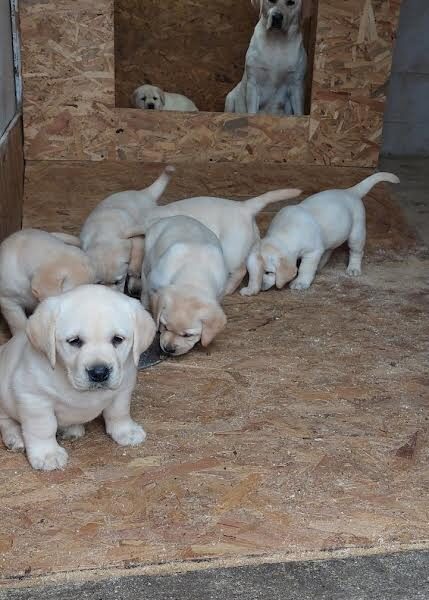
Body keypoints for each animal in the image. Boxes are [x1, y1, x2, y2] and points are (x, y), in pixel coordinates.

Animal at [0, 284, 155, 472]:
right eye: (74, 341)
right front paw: (47, 453)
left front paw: (126, 431)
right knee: (5, 420)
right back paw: (15, 437)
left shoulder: (123, 388)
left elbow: (119, 411)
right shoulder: (33, 397)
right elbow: (43, 427)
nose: (99, 372)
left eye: (118, 339)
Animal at [129, 185, 300, 292]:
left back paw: (228, 289)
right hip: (251, 247)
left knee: (240, 271)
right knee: (255, 267)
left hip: (232, 251)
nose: (134, 292)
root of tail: (245, 207)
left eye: (137, 275)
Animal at [140, 216, 227, 356]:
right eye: (165, 326)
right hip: (147, 259)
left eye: (187, 335)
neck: (192, 276)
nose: (169, 349)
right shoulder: (154, 280)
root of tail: (167, 218)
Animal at [242, 171, 400, 296]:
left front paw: (300, 282)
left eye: (269, 272)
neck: (285, 233)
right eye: (253, 272)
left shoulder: (313, 252)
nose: (261, 287)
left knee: (356, 251)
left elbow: (305, 268)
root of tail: (350, 192)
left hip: (357, 233)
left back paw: (354, 268)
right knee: (329, 250)